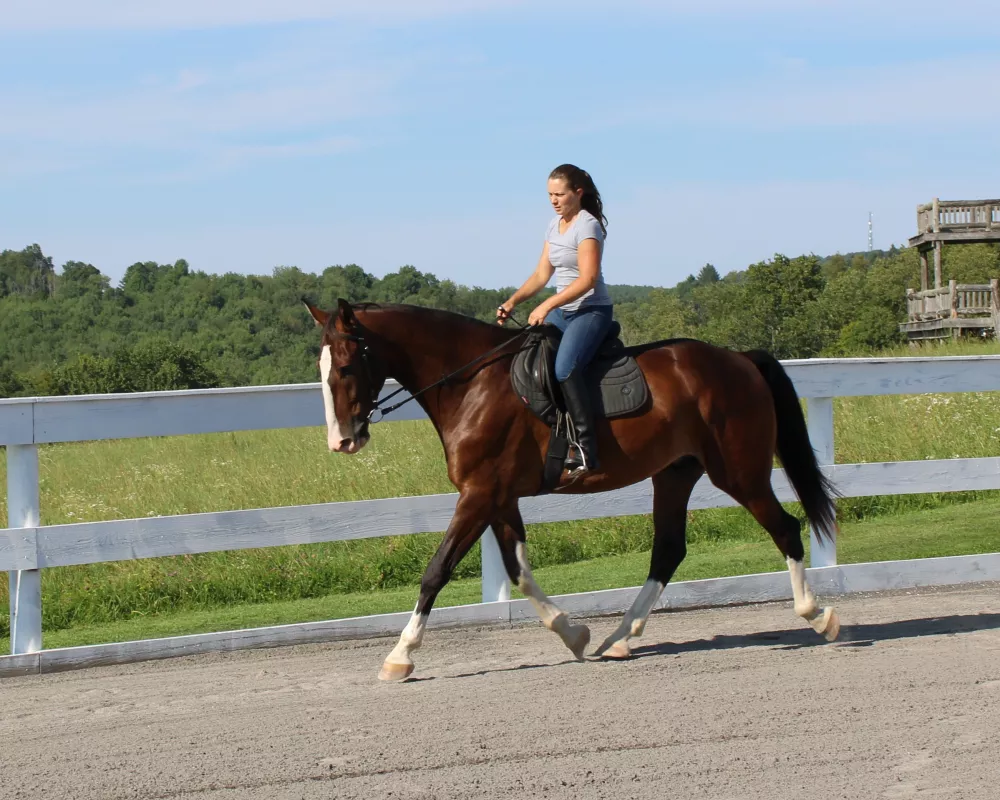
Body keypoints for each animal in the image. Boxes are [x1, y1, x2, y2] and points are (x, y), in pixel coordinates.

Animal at [300, 300, 840, 680]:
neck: (473, 384)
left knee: (785, 529)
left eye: (345, 365)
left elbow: (436, 571)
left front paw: (400, 655)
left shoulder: (478, 494)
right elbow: (518, 572)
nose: (342, 440)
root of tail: (740, 360)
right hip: (674, 473)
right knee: (668, 549)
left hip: (739, 473)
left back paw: (818, 616)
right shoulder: (498, 497)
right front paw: (574, 634)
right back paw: (619, 638)